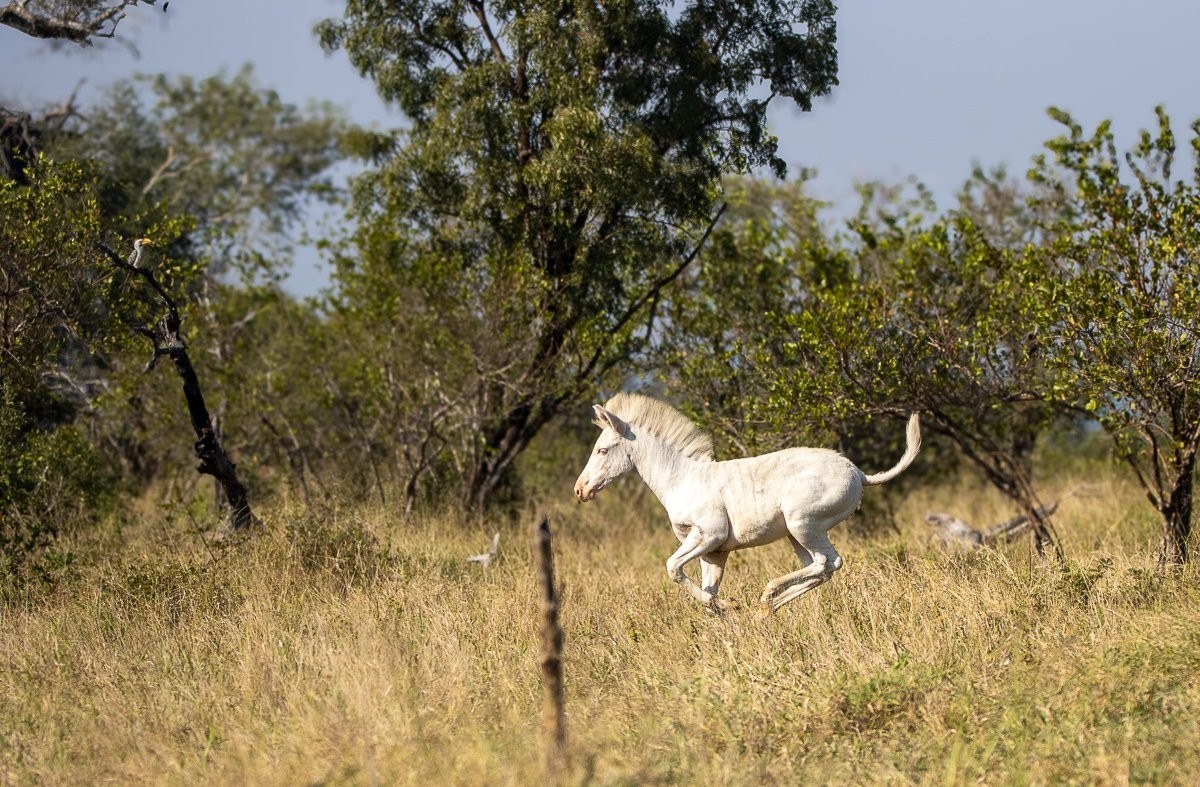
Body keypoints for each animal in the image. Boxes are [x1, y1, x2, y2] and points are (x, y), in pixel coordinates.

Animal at [573, 392, 921, 616]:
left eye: (602, 450)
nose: (580, 490)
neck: (681, 480)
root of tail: (859, 474)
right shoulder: (714, 551)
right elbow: (707, 591)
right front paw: (725, 613)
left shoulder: (707, 535)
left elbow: (672, 568)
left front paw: (732, 605)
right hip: (798, 534)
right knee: (824, 567)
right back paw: (766, 609)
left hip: (802, 524)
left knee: (825, 562)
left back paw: (766, 597)